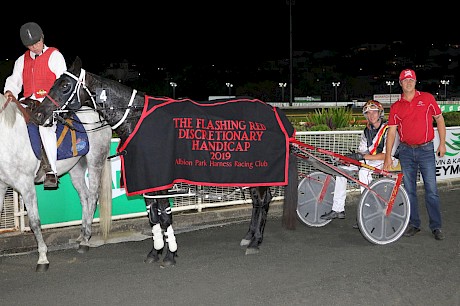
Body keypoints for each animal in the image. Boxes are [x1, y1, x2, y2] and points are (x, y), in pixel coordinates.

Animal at [0, 92, 112, 270]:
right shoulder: (2, 186)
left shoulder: (26, 186)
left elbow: (35, 222)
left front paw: (43, 257)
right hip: (77, 168)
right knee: (85, 198)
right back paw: (82, 235)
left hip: (95, 162)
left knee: (93, 197)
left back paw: (86, 240)